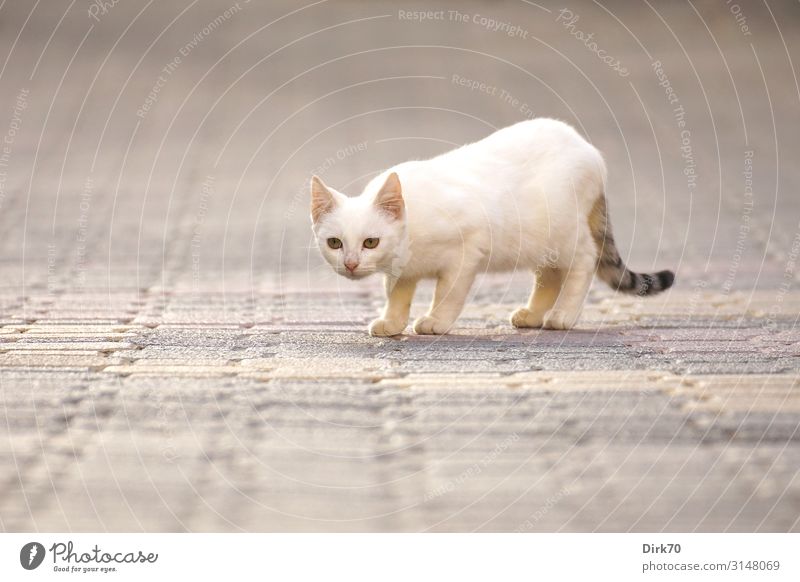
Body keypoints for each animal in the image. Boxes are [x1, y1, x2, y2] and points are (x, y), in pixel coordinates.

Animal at [310, 118, 672, 338]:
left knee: (583, 261)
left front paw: (436, 321)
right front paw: (393, 321)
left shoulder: (466, 250)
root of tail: (591, 152)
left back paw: (563, 314)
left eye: (370, 242)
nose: (351, 264)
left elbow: (448, 293)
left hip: (565, 232)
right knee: (550, 274)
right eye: (334, 243)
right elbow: (397, 294)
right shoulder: (403, 270)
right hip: (540, 242)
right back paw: (532, 314)